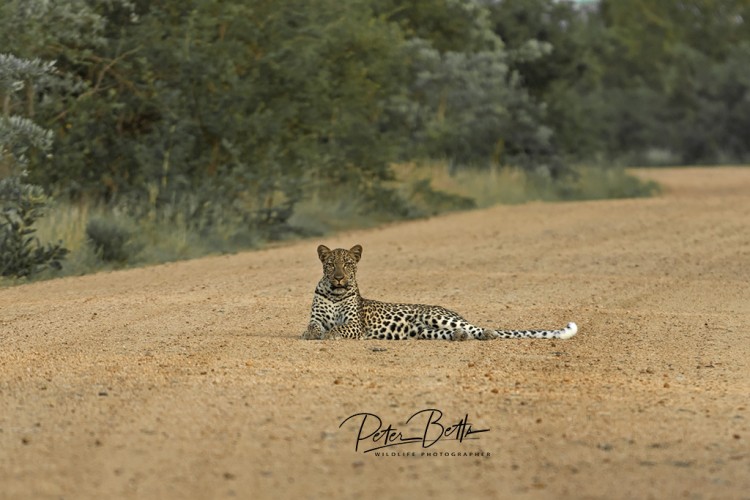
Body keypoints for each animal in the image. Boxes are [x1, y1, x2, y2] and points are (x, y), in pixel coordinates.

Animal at [302, 244, 580, 342]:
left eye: (348, 264)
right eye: (331, 264)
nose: (339, 277)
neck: (336, 293)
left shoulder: (354, 325)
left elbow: (339, 328)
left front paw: (329, 335)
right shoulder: (316, 318)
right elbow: (313, 327)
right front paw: (311, 335)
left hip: (437, 317)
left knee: (479, 328)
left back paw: (486, 334)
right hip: (424, 330)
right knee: (457, 333)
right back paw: (459, 337)